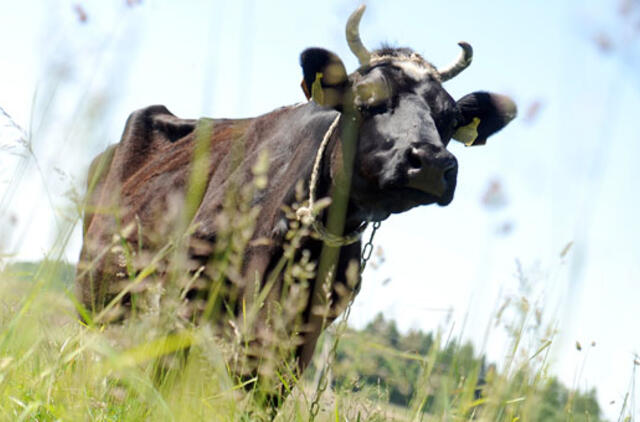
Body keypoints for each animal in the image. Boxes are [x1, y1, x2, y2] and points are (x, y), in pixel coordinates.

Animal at [75, 4, 516, 414]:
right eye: (365, 98)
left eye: (451, 119)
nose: (431, 162)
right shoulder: (187, 290)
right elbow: (164, 377)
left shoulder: (303, 333)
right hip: (94, 291)